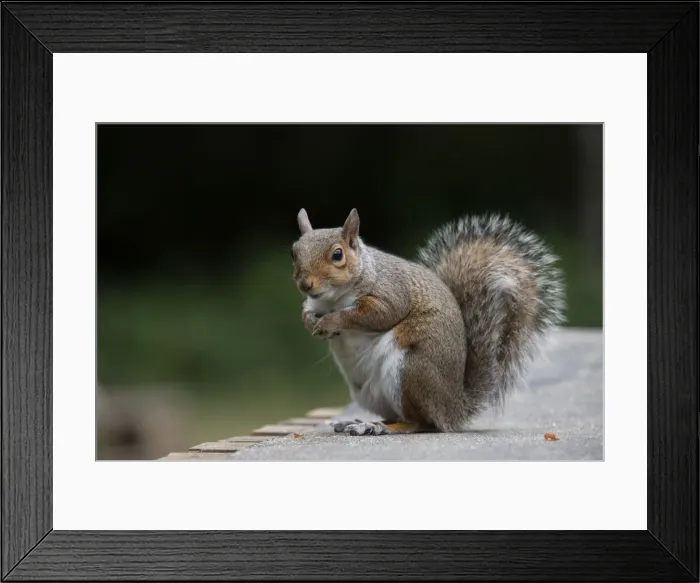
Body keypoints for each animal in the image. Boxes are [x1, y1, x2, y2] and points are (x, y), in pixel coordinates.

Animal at [291, 208, 565, 436]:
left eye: (338, 254)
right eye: (294, 252)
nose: (305, 284)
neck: (331, 299)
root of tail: (453, 407)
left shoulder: (391, 292)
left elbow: (376, 314)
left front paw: (331, 322)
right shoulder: (313, 303)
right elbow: (306, 312)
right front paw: (311, 322)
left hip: (410, 371)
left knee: (419, 422)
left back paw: (380, 427)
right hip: (370, 393)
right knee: (401, 416)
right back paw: (363, 422)